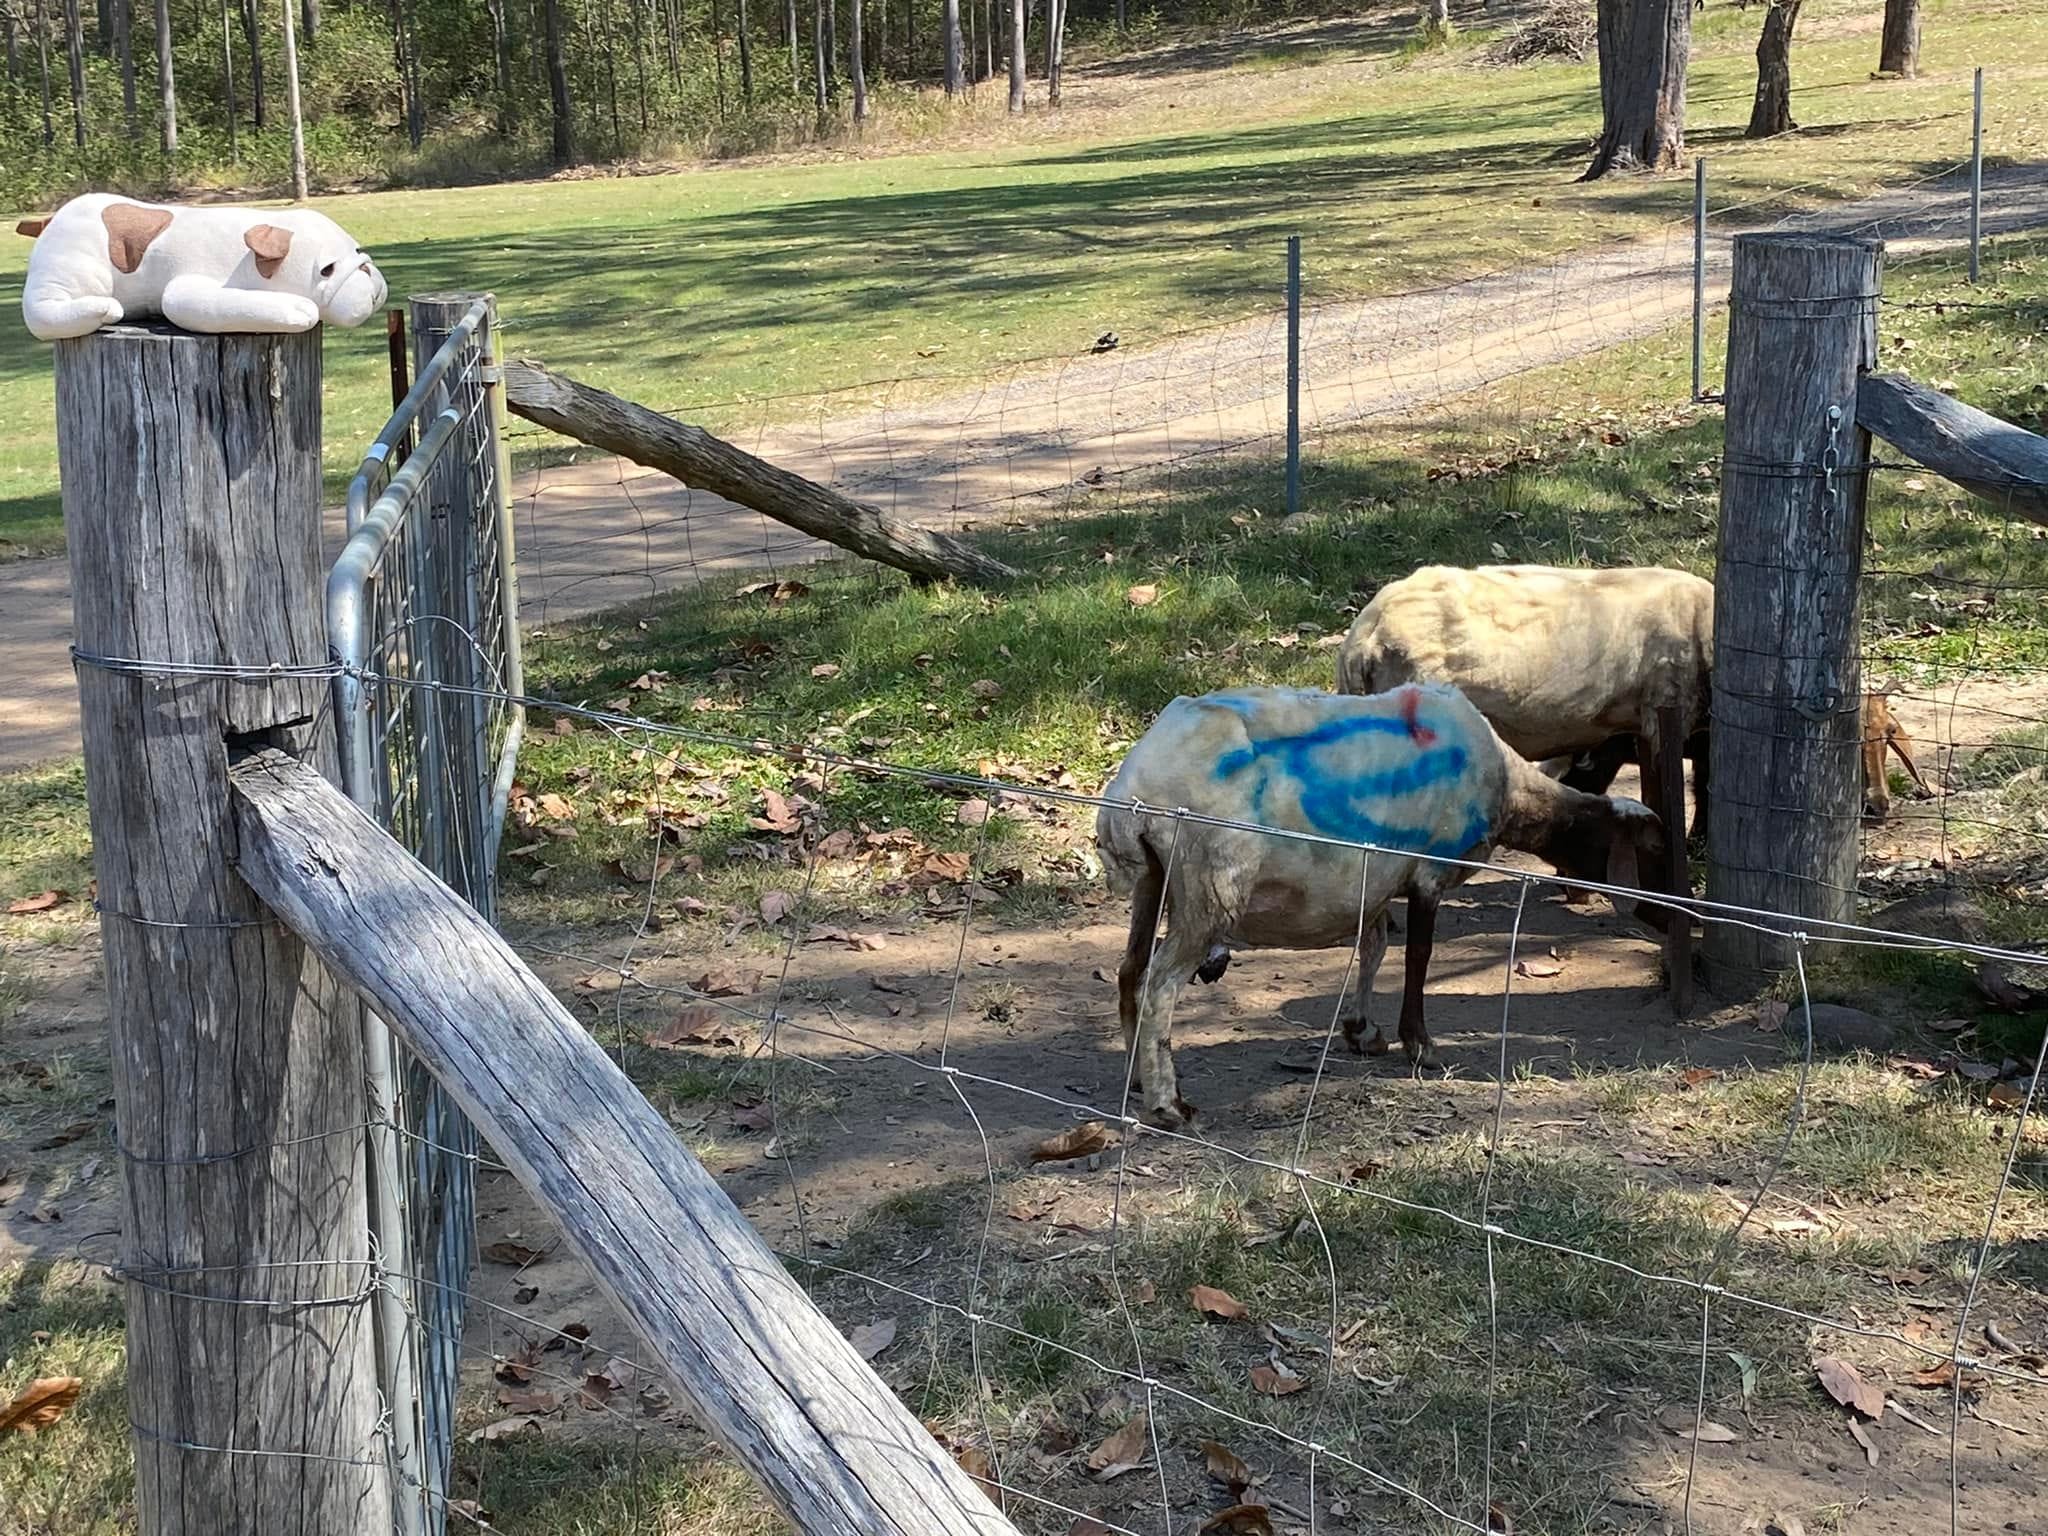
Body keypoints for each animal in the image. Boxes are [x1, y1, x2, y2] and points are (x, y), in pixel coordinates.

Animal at [1089, 684, 1662, 1130]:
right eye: (1640, 850)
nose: (1653, 914)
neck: (1507, 787)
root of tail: (1132, 791)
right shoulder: (1428, 872)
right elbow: (1418, 957)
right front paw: (1420, 1045)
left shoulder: (1375, 881)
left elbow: (1374, 947)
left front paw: (1361, 1030)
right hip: (1211, 884)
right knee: (1160, 983)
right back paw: (1168, 1104)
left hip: (1155, 880)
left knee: (1130, 971)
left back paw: (1137, 1077)